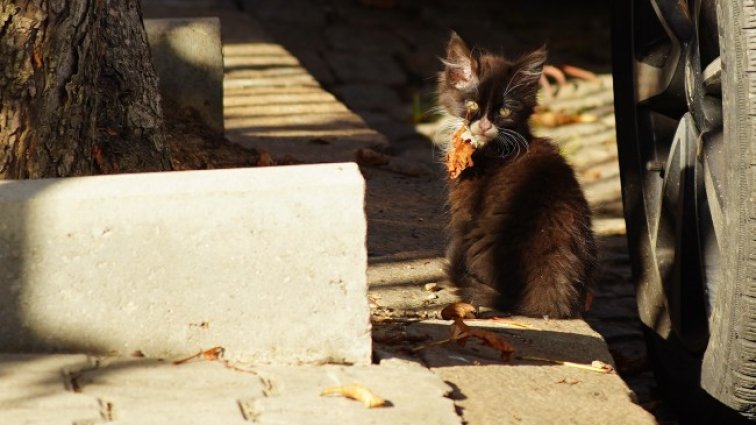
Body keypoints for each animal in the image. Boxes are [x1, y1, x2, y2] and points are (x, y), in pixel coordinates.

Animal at [438, 32, 596, 318]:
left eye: (504, 111)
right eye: (471, 104)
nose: (484, 125)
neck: (490, 149)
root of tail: (546, 299)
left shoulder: (464, 208)